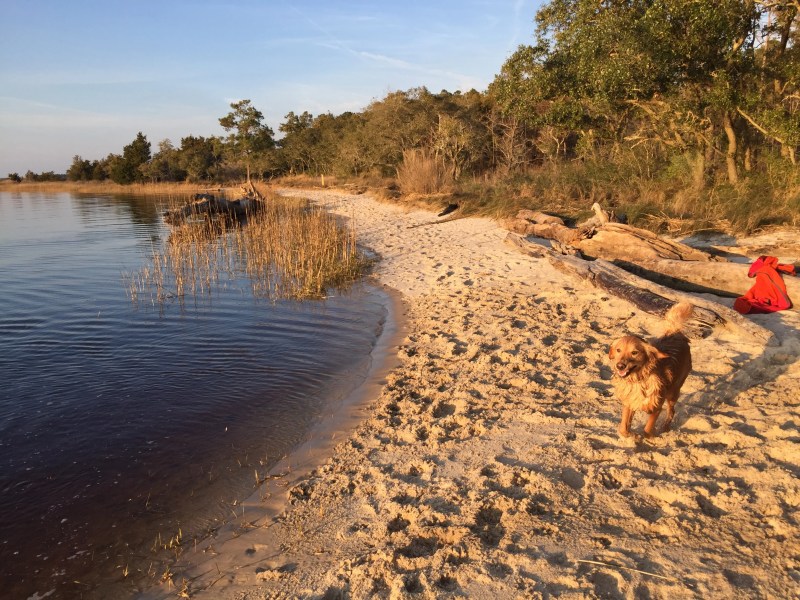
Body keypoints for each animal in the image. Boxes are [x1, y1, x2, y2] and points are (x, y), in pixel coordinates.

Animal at [608, 302, 692, 438]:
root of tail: (676, 334)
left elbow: (647, 430)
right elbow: (624, 429)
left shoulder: (656, 407)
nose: (620, 366)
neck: (638, 379)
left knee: (672, 411)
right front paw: (631, 436)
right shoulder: (630, 402)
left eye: (634, 352)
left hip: (673, 391)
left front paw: (646, 436)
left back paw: (665, 428)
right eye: (618, 350)